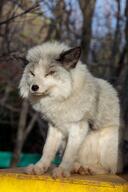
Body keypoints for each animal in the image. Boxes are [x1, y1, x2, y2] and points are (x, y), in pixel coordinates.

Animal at [18, 41, 122, 177]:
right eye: (32, 73)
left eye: (49, 73)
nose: (34, 87)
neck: (62, 98)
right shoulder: (55, 128)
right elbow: (47, 150)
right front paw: (39, 167)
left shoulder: (78, 128)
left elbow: (69, 154)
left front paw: (62, 171)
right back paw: (76, 168)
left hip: (107, 144)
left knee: (109, 169)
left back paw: (88, 169)